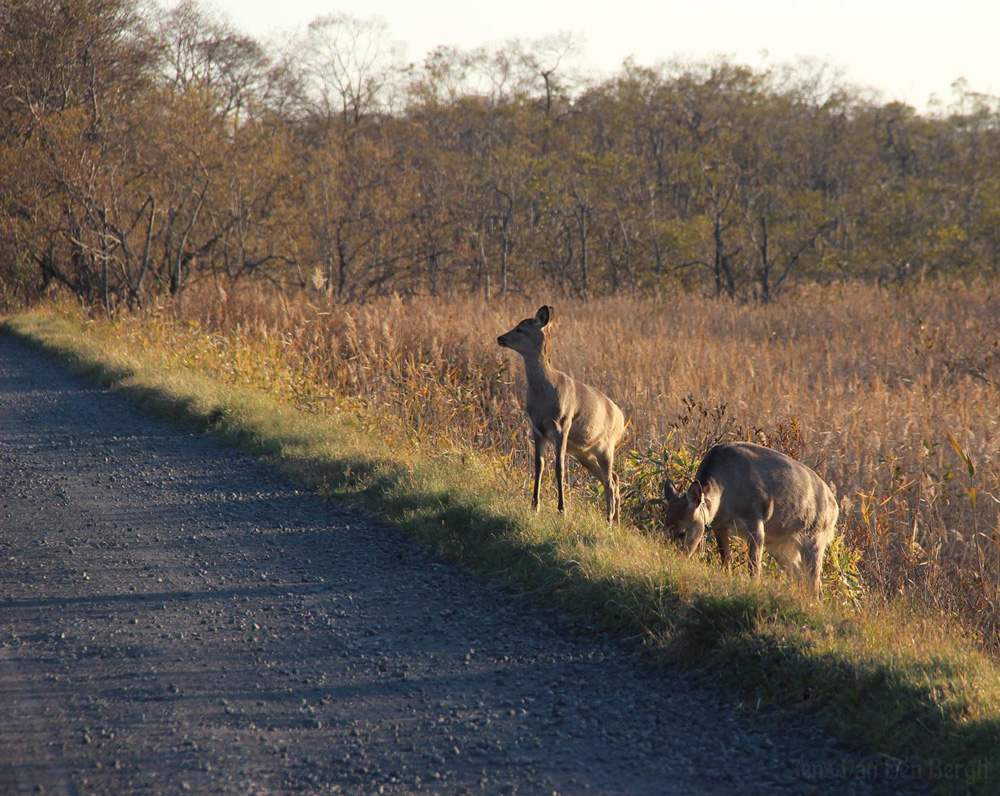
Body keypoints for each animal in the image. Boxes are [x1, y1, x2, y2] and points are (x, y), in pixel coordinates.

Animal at [498, 304, 624, 524]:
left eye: (520, 329)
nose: (500, 338)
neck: (545, 392)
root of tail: (622, 417)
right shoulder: (536, 426)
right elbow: (539, 465)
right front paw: (534, 505)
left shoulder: (562, 425)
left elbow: (559, 466)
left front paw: (561, 509)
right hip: (585, 453)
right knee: (614, 478)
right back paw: (614, 521)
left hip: (607, 446)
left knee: (609, 481)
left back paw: (609, 519)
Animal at [664, 444, 836, 592]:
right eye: (664, 528)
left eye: (682, 533)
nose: (673, 560)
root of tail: (835, 508)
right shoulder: (719, 525)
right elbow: (726, 559)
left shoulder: (755, 517)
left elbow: (754, 566)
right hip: (780, 546)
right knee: (801, 579)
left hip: (815, 537)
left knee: (814, 585)